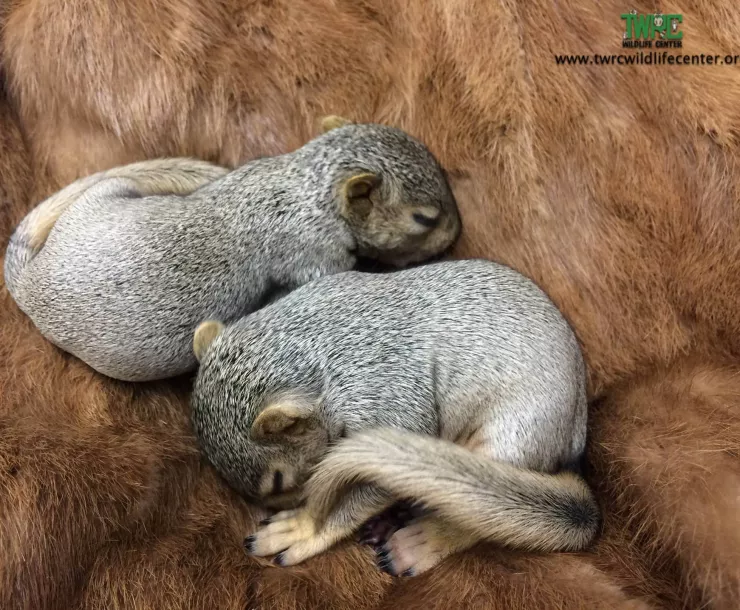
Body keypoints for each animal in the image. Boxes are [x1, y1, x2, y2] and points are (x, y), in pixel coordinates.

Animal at [189, 258, 600, 577]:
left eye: (277, 481)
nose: (292, 502)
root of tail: (572, 443)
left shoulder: (389, 407)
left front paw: (304, 525)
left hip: (509, 442)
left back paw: (420, 541)